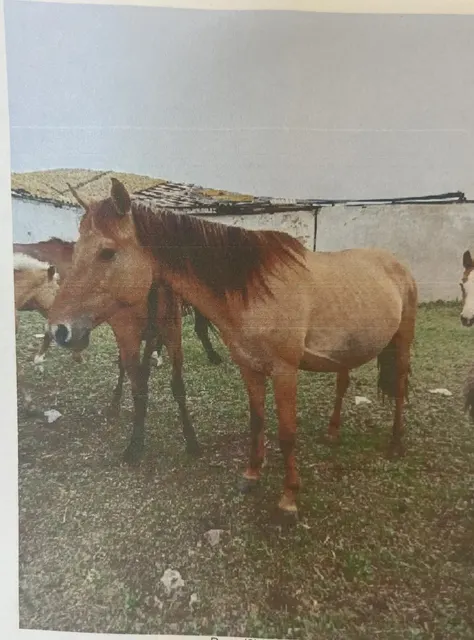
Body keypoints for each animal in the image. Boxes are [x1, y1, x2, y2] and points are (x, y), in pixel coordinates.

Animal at [48, 178, 418, 518]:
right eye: (76, 250)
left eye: (107, 252)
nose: (59, 330)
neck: (256, 292)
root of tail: (396, 264)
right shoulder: (248, 366)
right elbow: (256, 420)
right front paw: (251, 475)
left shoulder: (285, 372)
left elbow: (287, 433)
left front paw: (288, 499)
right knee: (343, 382)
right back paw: (332, 433)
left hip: (402, 343)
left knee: (400, 386)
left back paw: (396, 443)